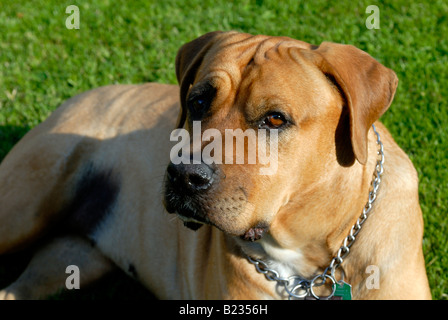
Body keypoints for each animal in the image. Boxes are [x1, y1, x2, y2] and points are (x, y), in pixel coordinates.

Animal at [0, 31, 430, 298]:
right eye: (198, 102)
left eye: (275, 119)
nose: (183, 176)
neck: (310, 260)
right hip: (23, 206)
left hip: (71, 258)